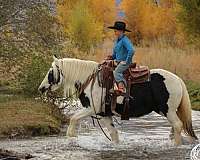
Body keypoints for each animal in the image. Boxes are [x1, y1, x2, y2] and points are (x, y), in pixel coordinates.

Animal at [38, 56, 198, 145]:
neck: (90, 80)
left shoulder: (91, 109)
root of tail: (178, 79)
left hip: (168, 111)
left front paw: (71, 137)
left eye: (50, 72)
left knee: (177, 126)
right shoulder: (104, 114)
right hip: (171, 111)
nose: (41, 88)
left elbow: (73, 119)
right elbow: (114, 134)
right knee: (175, 128)